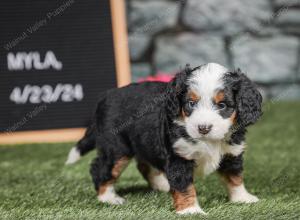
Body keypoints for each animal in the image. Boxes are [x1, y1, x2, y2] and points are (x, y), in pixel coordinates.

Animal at [66, 62, 262, 215]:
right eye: (191, 103)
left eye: (222, 105)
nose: (203, 128)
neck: (208, 141)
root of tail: (106, 97)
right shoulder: (179, 156)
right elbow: (184, 186)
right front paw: (190, 210)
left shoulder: (231, 153)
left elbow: (234, 177)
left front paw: (242, 198)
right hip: (116, 148)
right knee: (101, 168)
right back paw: (108, 197)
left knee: (144, 165)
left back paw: (162, 184)